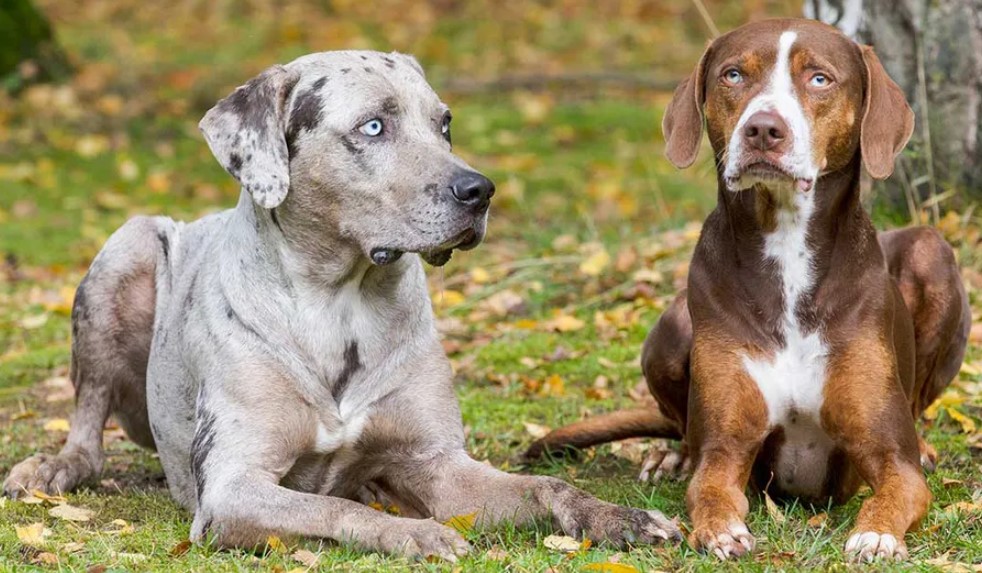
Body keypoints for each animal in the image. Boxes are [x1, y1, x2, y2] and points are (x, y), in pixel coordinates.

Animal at [3, 51, 680, 560]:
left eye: (445, 123)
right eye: (373, 126)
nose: (479, 190)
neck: (342, 306)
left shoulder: (437, 464)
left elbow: (547, 486)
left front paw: (619, 517)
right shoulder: (232, 488)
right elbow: (332, 506)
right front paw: (414, 533)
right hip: (127, 249)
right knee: (88, 419)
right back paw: (53, 468)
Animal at [528, 20, 972, 560]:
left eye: (819, 79)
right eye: (733, 74)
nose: (762, 129)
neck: (786, 246)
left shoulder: (888, 453)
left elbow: (894, 489)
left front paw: (876, 534)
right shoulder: (726, 447)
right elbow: (710, 488)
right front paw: (720, 529)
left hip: (932, 251)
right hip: (671, 327)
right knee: (684, 427)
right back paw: (672, 456)